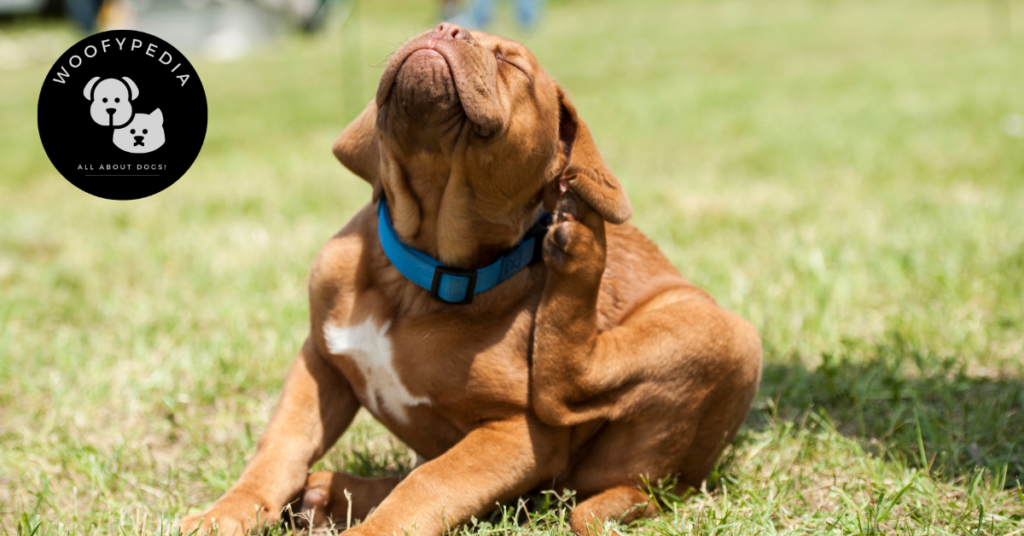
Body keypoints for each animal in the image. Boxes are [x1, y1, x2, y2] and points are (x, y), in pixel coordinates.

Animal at [182, 22, 761, 536]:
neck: (418, 276)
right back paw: (331, 494)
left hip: (722, 334)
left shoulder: (518, 434)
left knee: (571, 389)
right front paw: (226, 512)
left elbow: (430, 486)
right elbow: (280, 448)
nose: (446, 28)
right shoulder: (320, 362)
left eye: (512, 64)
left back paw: (582, 245)